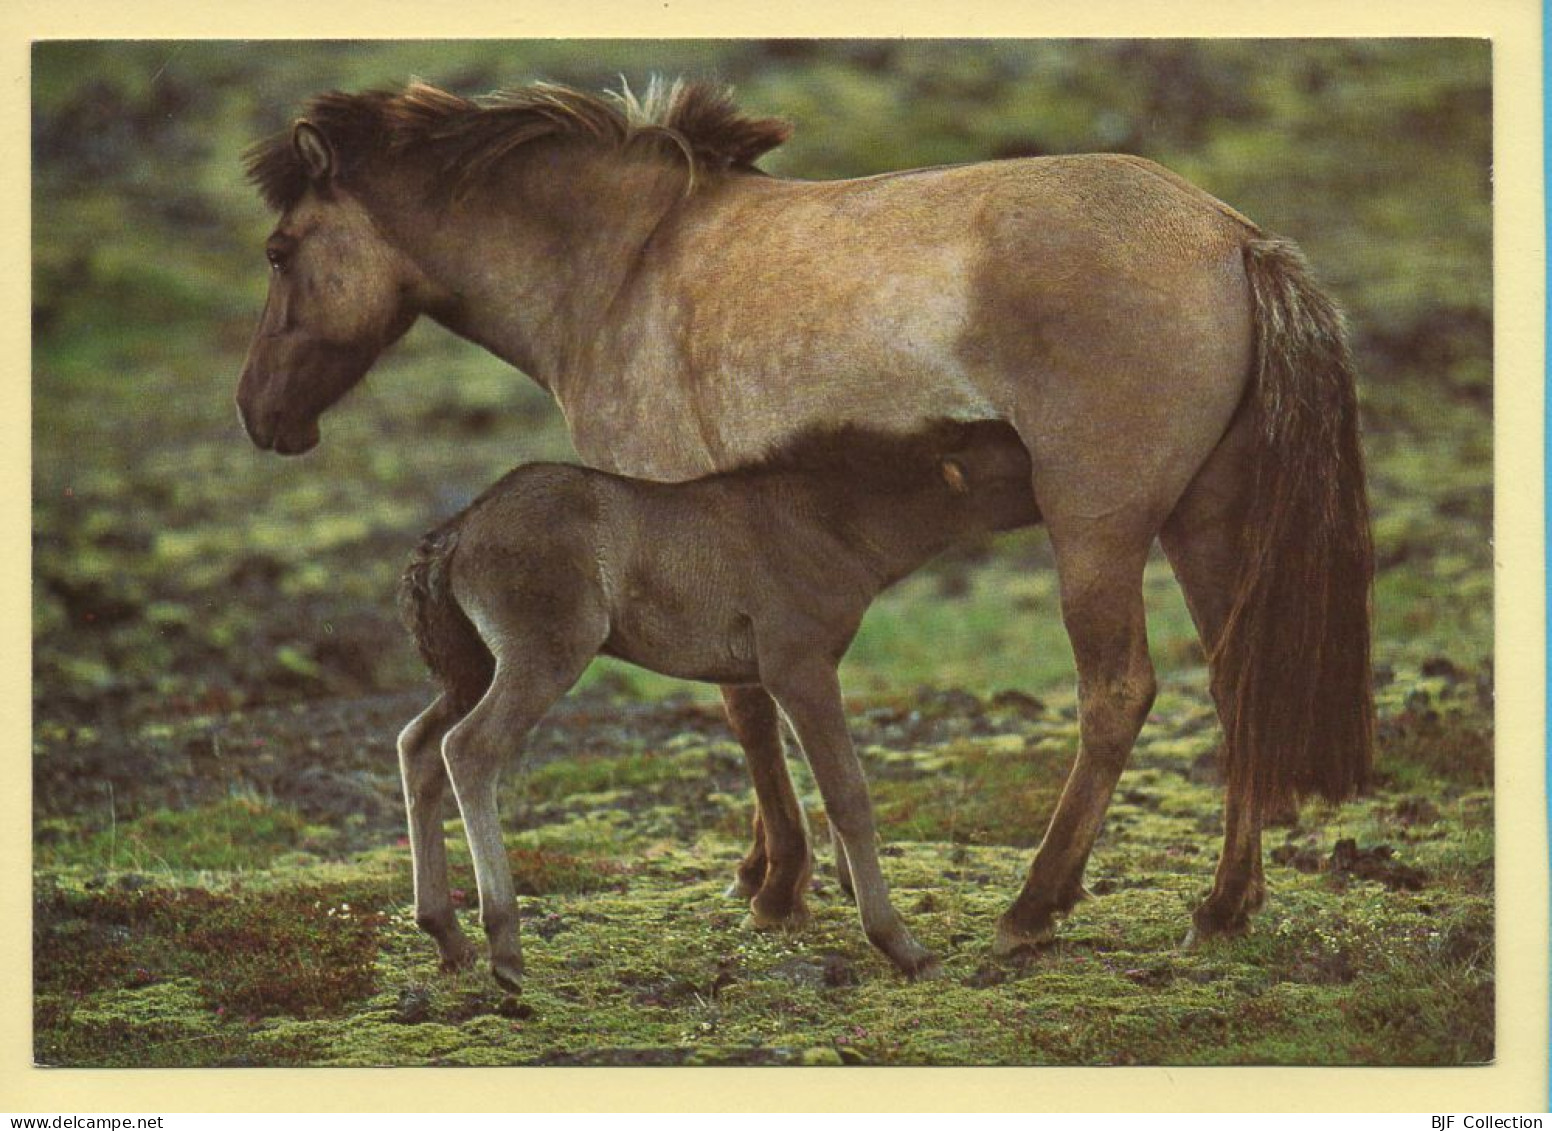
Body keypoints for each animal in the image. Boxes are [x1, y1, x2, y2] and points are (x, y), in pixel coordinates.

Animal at [394, 415, 1036, 986]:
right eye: (1020, 464)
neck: (830, 523)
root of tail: (453, 534)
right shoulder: (798, 665)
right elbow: (847, 793)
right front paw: (901, 945)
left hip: (474, 668)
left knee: (418, 743)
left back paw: (447, 935)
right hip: (543, 655)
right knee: (469, 748)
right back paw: (503, 945)